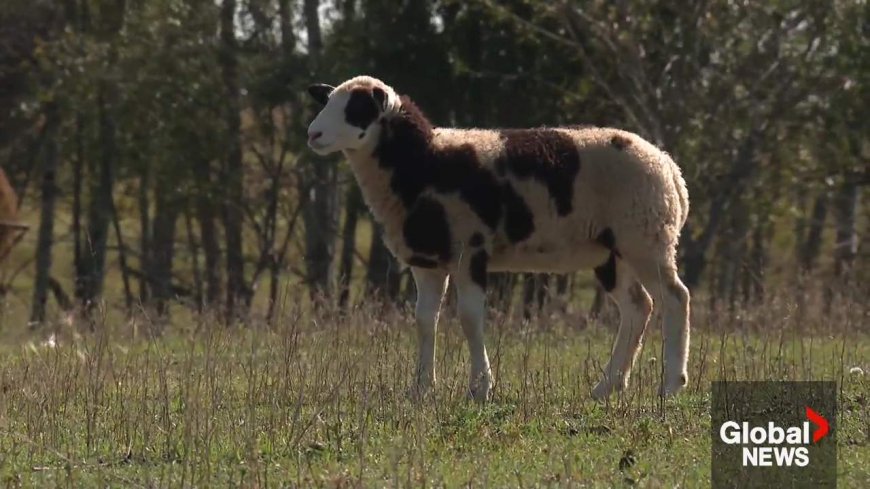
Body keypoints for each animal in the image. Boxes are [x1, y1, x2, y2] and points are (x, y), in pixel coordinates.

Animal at [306, 76, 691, 401]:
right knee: (638, 307)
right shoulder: (428, 262)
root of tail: (670, 168)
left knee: (675, 299)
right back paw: (607, 386)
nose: (313, 134)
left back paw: (671, 386)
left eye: (357, 108)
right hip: (613, 252)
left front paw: (480, 388)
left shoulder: (469, 250)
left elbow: (469, 318)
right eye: (328, 101)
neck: (425, 162)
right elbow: (424, 320)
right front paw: (421, 389)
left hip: (646, 238)